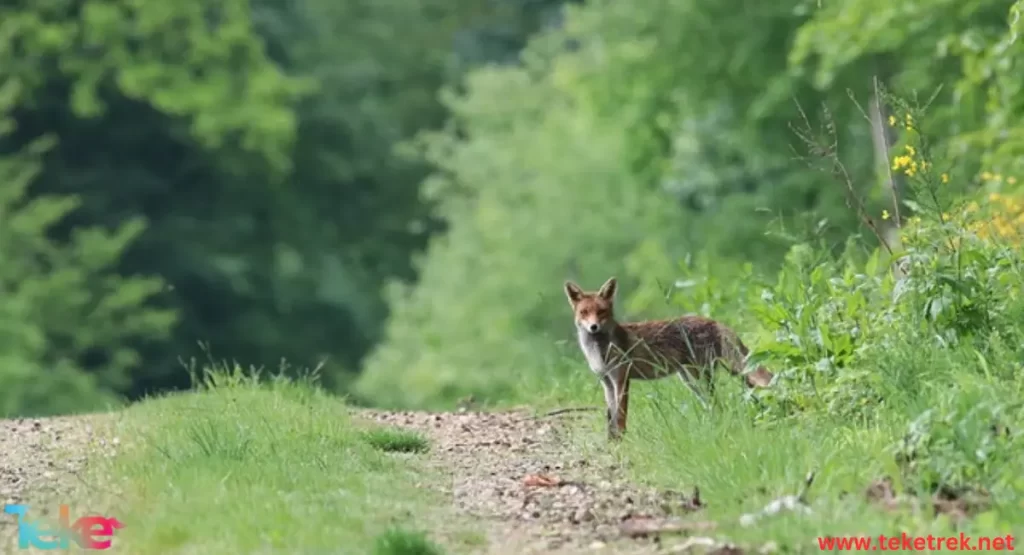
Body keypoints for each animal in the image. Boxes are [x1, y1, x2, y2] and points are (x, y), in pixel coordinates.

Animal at [565, 276, 770, 442]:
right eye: (584, 312)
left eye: (601, 312)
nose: (593, 327)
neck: (600, 350)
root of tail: (713, 321)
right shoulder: (606, 382)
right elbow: (610, 416)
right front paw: (611, 441)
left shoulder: (621, 379)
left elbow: (621, 415)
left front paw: (622, 441)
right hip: (691, 380)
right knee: (714, 405)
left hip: (700, 377)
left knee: (717, 403)